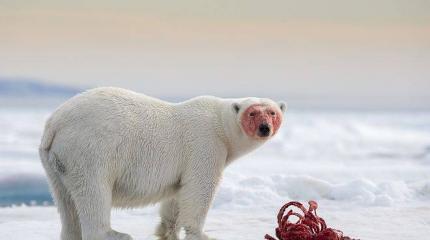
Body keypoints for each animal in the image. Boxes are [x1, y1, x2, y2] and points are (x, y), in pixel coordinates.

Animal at [39, 87, 286, 240]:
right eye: (253, 113)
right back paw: (115, 234)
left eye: (272, 112)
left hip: (56, 162)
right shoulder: (205, 145)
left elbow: (177, 195)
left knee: (65, 200)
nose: (265, 128)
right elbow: (199, 189)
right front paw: (202, 234)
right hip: (91, 150)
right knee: (93, 191)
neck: (220, 125)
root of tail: (55, 123)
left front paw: (167, 232)